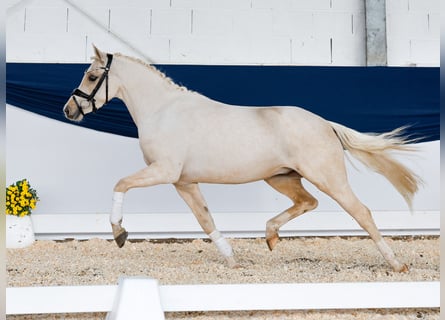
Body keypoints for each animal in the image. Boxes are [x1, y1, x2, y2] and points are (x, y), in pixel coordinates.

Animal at [63, 46, 420, 272]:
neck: (163, 111)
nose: (69, 110)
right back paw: (271, 237)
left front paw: (119, 234)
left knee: (362, 213)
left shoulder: (163, 171)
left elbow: (120, 183)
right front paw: (232, 260)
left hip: (328, 178)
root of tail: (325, 124)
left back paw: (397, 265)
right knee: (308, 202)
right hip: (281, 177)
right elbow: (205, 220)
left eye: (92, 76)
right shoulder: (184, 182)